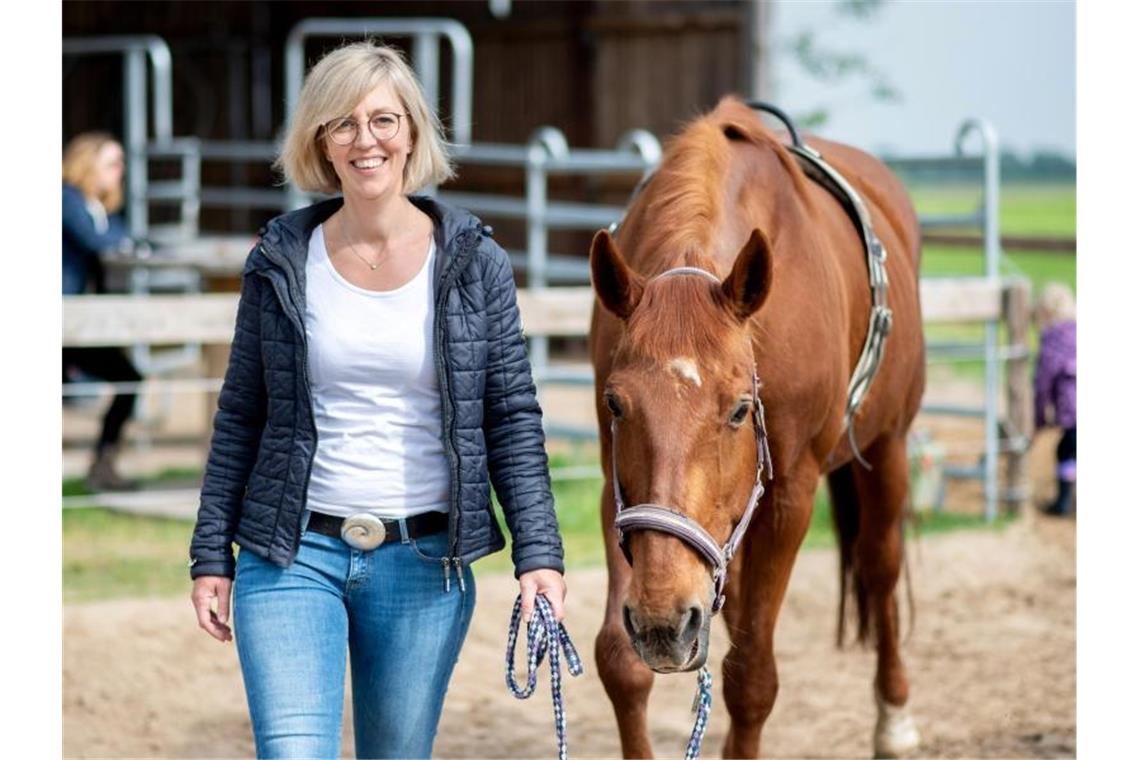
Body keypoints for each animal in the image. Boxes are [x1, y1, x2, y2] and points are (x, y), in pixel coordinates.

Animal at [588, 97, 925, 756]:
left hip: (888, 446)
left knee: (879, 564)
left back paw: (895, 717)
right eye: (616, 405)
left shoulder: (790, 494)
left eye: (741, 409)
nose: (665, 621)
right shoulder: (617, 490)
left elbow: (752, 679)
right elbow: (620, 663)